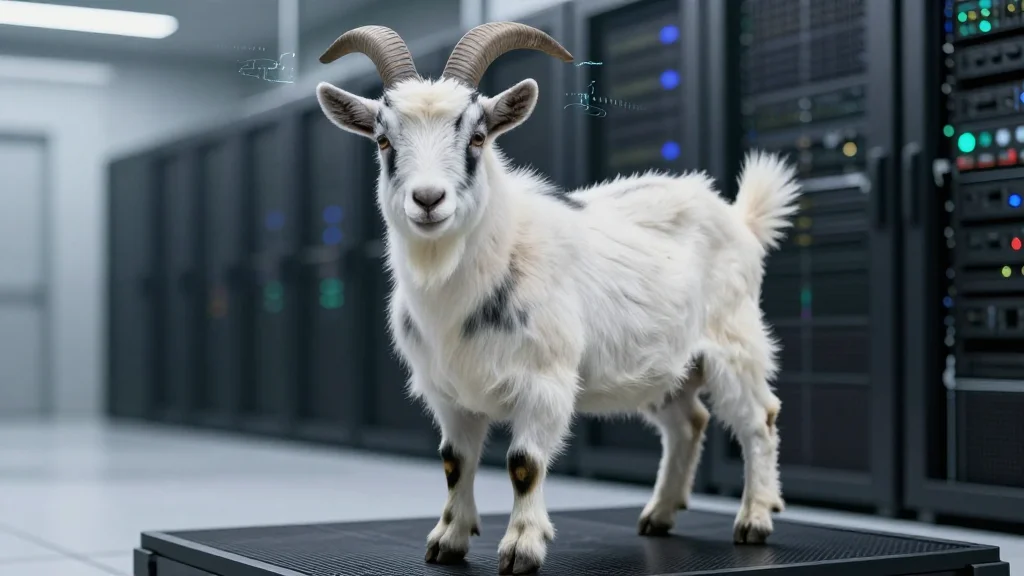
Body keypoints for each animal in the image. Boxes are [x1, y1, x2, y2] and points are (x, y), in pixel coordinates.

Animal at [315, 23, 800, 575]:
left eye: (477, 137)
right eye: (383, 140)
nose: (428, 199)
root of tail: (740, 218)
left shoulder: (544, 381)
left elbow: (523, 464)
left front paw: (522, 548)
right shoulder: (449, 393)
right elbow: (454, 462)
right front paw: (447, 541)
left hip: (732, 340)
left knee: (759, 419)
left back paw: (754, 518)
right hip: (665, 366)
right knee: (687, 423)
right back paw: (659, 513)